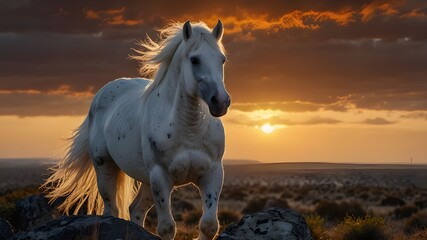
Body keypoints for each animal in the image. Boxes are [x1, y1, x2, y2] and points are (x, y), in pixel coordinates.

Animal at [43, 20, 231, 240]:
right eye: (194, 60)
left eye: (222, 60)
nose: (220, 102)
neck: (189, 129)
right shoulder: (160, 176)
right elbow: (167, 227)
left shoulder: (212, 173)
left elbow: (209, 225)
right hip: (106, 169)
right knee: (113, 210)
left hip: (147, 183)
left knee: (135, 210)